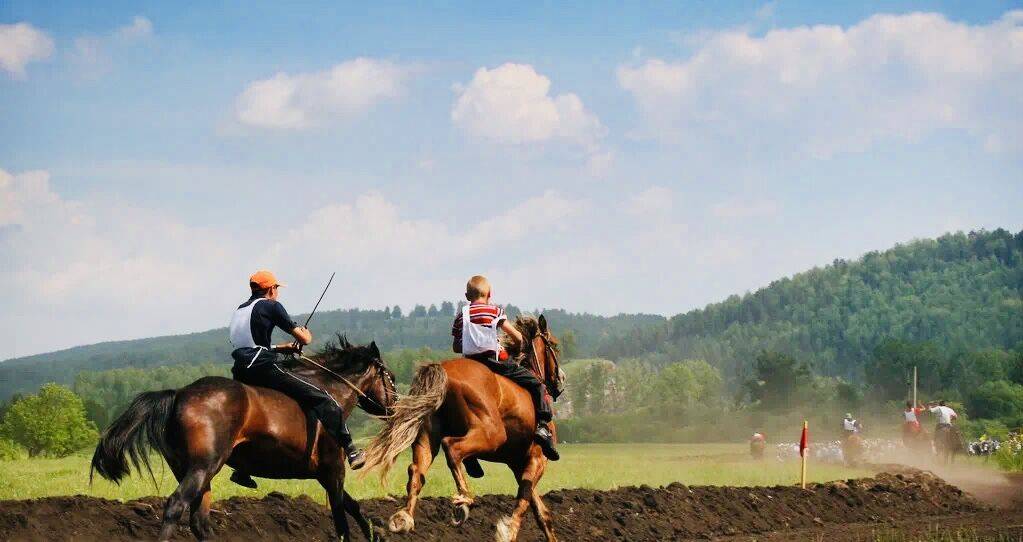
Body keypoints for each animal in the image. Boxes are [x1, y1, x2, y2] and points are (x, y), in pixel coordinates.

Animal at [91, 335, 394, 535]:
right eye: (389, 376)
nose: (394, 407)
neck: (331, 392)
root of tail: (179, 394)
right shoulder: (333, 471)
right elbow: (342, 519)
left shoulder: (323, 474)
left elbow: (353, 508)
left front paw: (374, 533)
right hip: (203, 467)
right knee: (176, 506)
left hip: (192, 471)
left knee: (199, 521)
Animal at [362, 314, 568, 539]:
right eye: (554, 346)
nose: (561, 379)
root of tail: (443, 371)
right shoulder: (537, 459)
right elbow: (524, 500)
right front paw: (508, 530)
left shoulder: (517, 464)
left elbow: (540, 512)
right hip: (492, 434)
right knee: (452, 448)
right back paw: (464, 500)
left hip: (427, 435)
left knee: (417, 470)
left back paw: (404, 517)